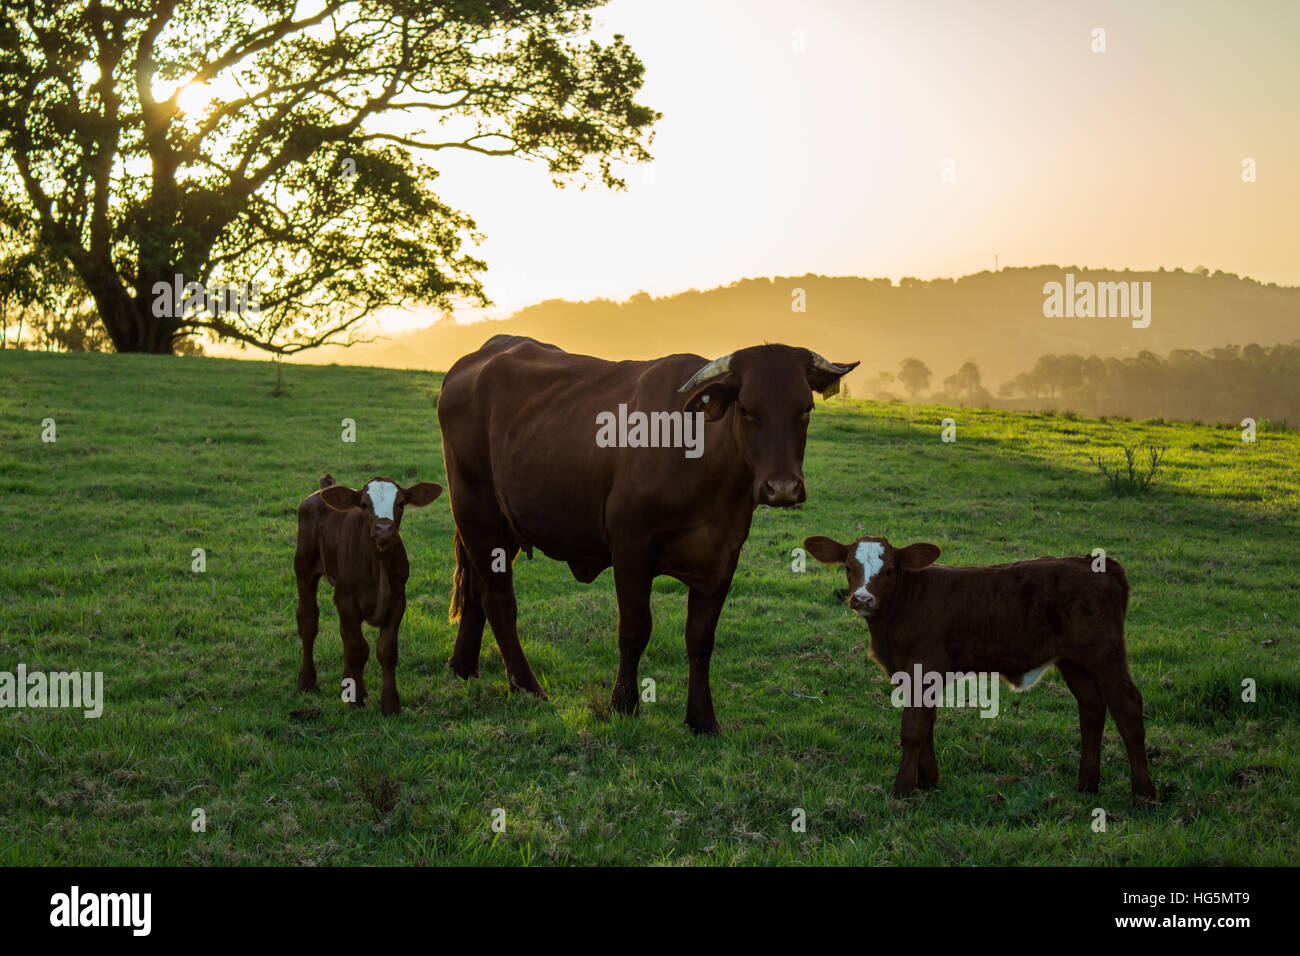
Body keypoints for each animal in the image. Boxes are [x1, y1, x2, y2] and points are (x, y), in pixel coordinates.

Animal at [295, 474, 442, 715]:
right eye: (364, 505)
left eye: (401, 503)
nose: (384, 528)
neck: (378, 563)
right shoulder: (346, 599)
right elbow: (357, 648)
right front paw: (355, 702)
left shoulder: (397, 600)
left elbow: (386, 650)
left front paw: (390, 704)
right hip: (304, 568)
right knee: (308, 622)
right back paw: (307, 682)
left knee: (343, 633)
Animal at [437, 335, 857, 732]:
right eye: (747, 410)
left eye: (805, 409)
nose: (782, 488)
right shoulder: (630, 547)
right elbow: (635, 630)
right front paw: (624, 704)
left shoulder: (723, 557)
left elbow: (700, 639)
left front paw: (702, 719)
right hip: (476, 508)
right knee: (498, 599)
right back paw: (526, 685)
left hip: (500, 526)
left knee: (475, 590)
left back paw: (463, 667)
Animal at [802, 533, 1156, 803]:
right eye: (848, 567)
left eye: (888, 570)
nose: (862, 599)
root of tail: (1093, 562)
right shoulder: (922, 674)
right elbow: (927, 724)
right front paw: (928, 779)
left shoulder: (922, 668)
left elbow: (913, 729)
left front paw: (902, 789)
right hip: (1074, 661)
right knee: (1092, 708)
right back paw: (1086, 784)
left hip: (1106, 655)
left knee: (1127, 708)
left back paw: (1143, 793)